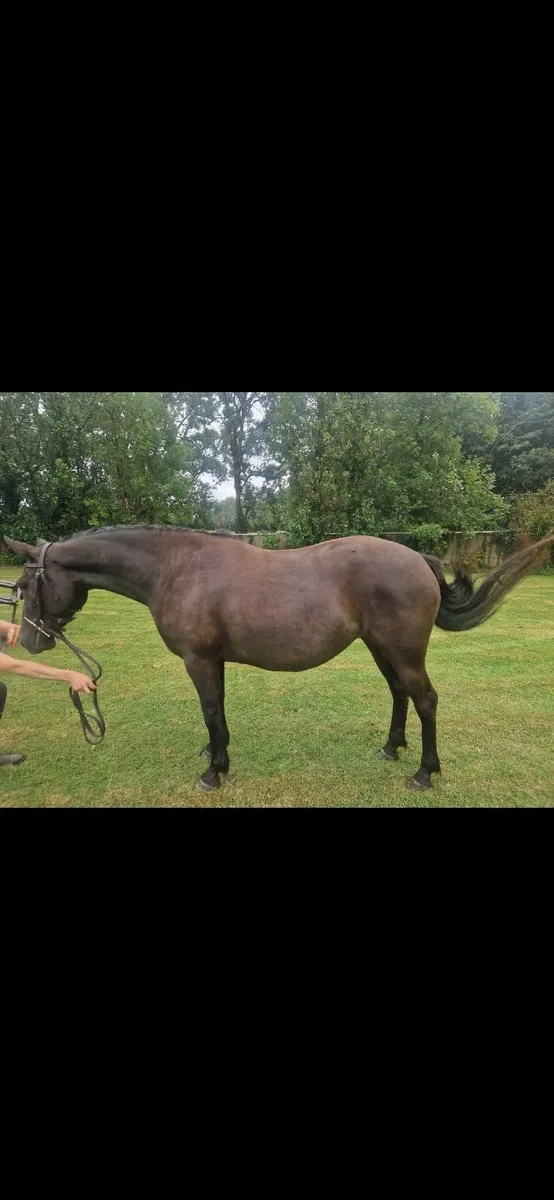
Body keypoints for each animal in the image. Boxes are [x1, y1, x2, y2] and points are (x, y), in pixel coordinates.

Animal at [4, 526, 553, 794]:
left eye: (27, 583)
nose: (28, 642)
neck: (178, 569)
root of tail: (418, 558)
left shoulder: (200, 660)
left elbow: (211, 711)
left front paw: (214, 773)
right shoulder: (213, 661)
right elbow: (218, 714)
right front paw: (215, 757)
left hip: (403, 651)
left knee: (426, 701)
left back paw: (423, 773)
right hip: (380, 649)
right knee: (400, 694)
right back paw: (391, 748)